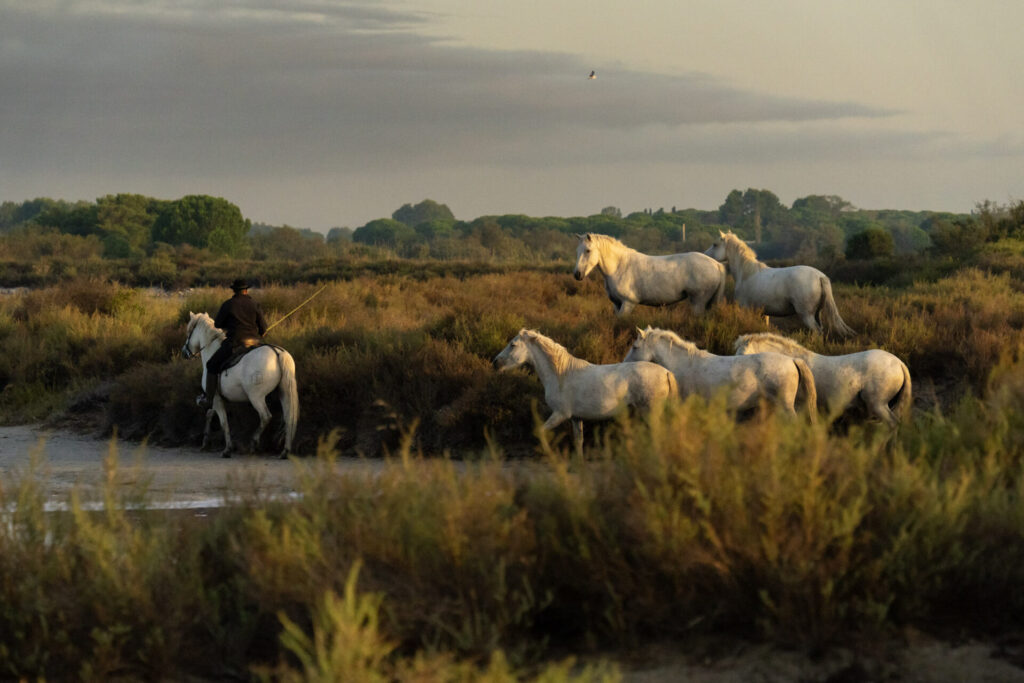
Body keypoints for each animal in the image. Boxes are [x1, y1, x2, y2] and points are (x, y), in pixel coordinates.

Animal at [181, 312, 299, 458]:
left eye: (189, 332)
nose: (184, 352)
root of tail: (277, 353)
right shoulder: (217, 399)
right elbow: (209, 414)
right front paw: (205, 443)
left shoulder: (216, 398)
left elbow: (224, 422)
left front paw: (227, 449)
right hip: (283, 392)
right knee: (289, 418)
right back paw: (285, 451)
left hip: (256, 397)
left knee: (265, 416)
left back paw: (254, 443)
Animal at [492, 328, 677, 452]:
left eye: (513, 345)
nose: (495, 363)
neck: (561, 375)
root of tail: (666, 372)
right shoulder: (575, 418)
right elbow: (578, 441)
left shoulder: (560, 414)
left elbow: (540, 433)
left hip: (651, 412)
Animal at [573, 233, 726, 317]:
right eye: (577, 251)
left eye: (587, 250)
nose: (577, 274)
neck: (619, 267)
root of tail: (716, 264)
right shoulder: (617, 304)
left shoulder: (628, 303)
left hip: (698, 302)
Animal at [704, 230, 855, 337]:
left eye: (715, 244)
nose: (705, 255)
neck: (747, 274)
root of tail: (820, 277)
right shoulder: (763, 313)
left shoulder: (745, 308)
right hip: (817, 313)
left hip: (807, 315)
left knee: (817, 331)